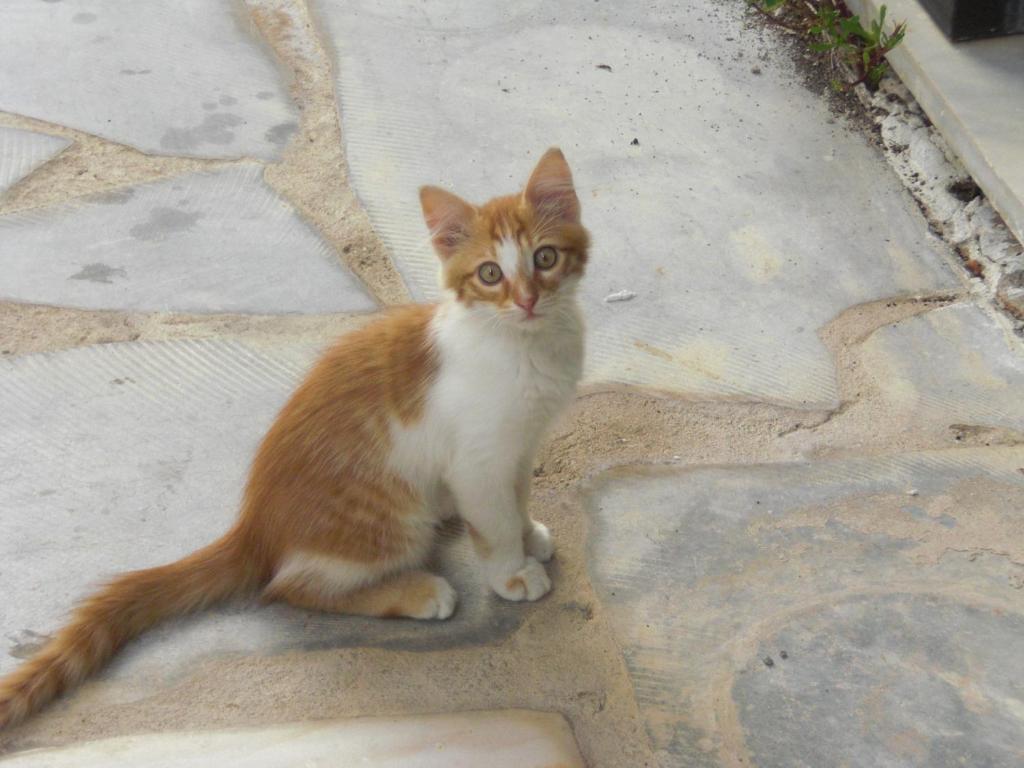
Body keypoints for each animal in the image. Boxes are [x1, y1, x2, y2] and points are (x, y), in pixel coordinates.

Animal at [0, 147, 589, 729]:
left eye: (544, 259)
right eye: (490, 273)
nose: (528, 300)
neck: (523, 345)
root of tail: (254, 527)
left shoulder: (519, 445)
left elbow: (516, 499)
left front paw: (529, 534)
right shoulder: (477, 461)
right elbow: (493, 523)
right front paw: (512, 574)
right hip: (391, 519)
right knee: (291, 586)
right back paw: (418, 590)